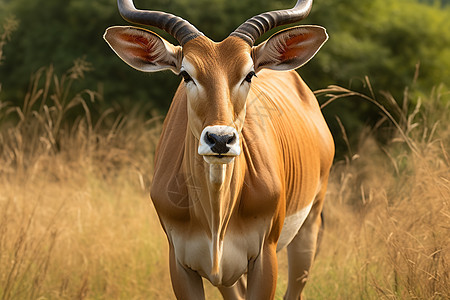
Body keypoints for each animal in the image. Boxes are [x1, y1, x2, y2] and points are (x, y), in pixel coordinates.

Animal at [103, 0, 332, 298]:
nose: (220, 139)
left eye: (249, 74)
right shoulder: (182, 265)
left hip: (308, 229)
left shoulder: (265, 257)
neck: (216, 218)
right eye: (186, 74)